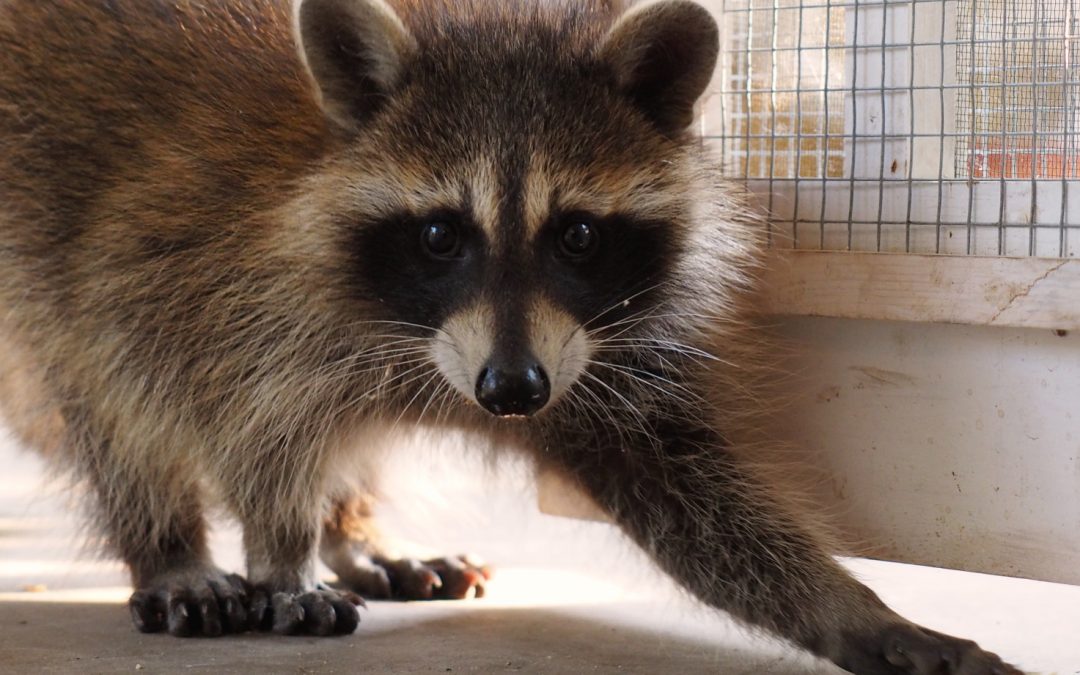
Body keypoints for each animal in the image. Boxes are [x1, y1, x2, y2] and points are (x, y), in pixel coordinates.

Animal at [0, 0, 1019, 672]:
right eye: (440, 233)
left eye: (578, 234)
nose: (512, 392)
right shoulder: (205, 260)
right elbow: (235, 413)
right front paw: (279, 543)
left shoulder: (593, 351)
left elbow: (688, 495)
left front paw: (851, 609)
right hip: (45, 213)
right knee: (102, 372)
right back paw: (175, 545)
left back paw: (353, 528)